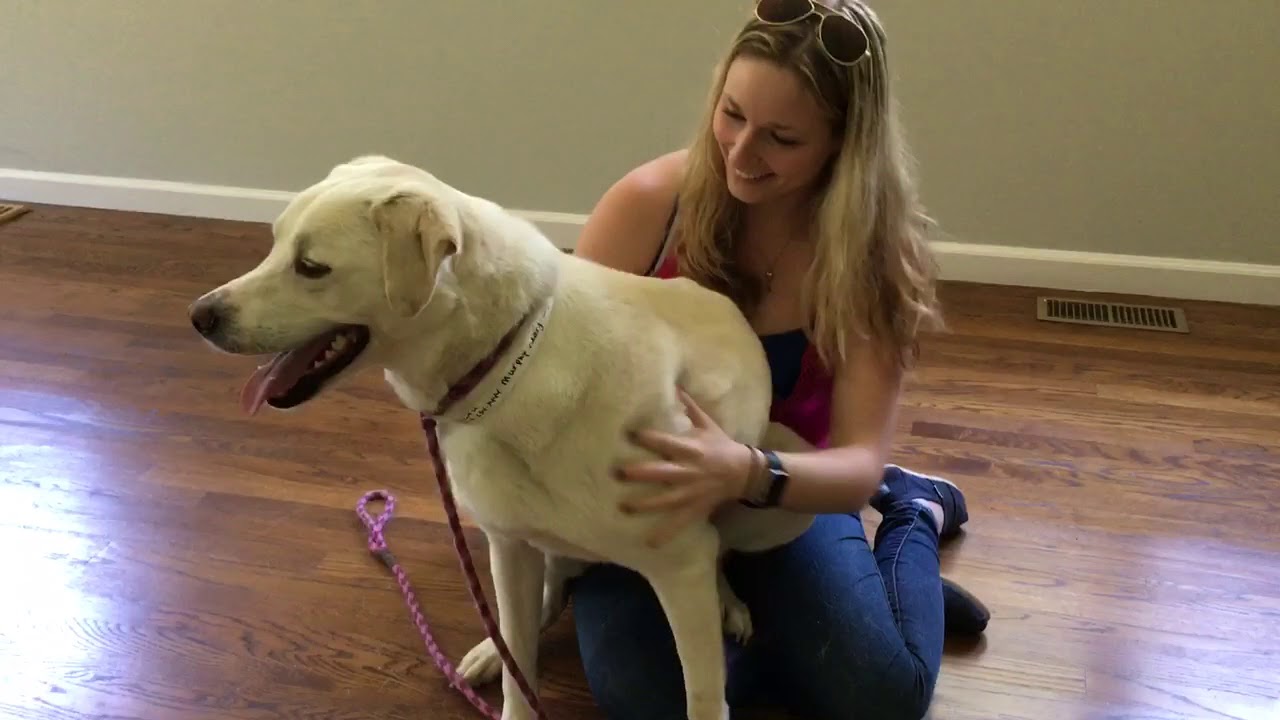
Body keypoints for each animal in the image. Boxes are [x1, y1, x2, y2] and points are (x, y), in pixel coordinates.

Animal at [189, 155, 815, 720]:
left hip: (777, 495)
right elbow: (521, 665)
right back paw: (493, 649)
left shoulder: (679, 567)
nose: (200, 316)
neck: (505, 361)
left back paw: (729, 602)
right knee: (545, 600)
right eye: (274, 245)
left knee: (719, 551)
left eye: (311, 266)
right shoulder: (508, 543)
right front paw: (505, 661)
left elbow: (703, 693)